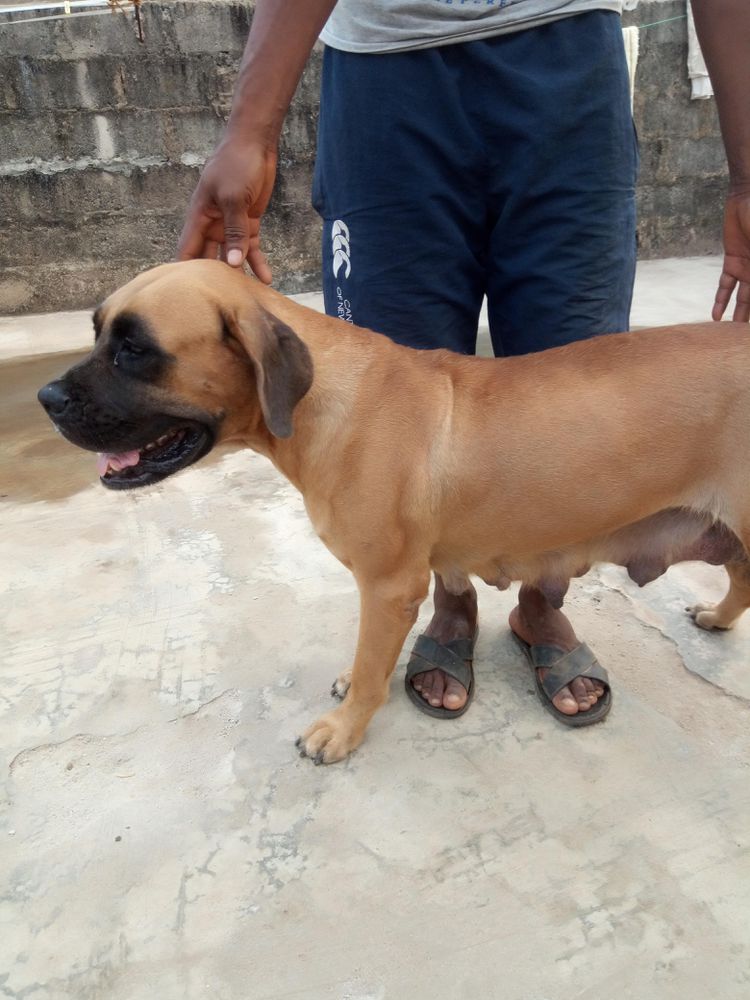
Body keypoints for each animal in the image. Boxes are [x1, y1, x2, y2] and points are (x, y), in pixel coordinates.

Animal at [38, 262, 750, 760]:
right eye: (99, 332)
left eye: (135, 348)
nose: (47, 398)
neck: (320, 402)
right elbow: (365, 661)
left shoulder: (388, 588)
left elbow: (371, 669)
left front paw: (343, 729)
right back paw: (716, 618)